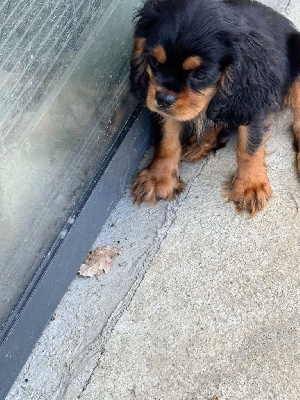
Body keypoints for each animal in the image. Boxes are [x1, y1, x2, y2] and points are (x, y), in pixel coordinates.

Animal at [130, 0, 300, 216]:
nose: (163, 99)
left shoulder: (250, 102)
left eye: (200, 75)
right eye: (154, 61)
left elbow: (249, 146)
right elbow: (167, 138)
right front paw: (158, 177)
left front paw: (250, 185)